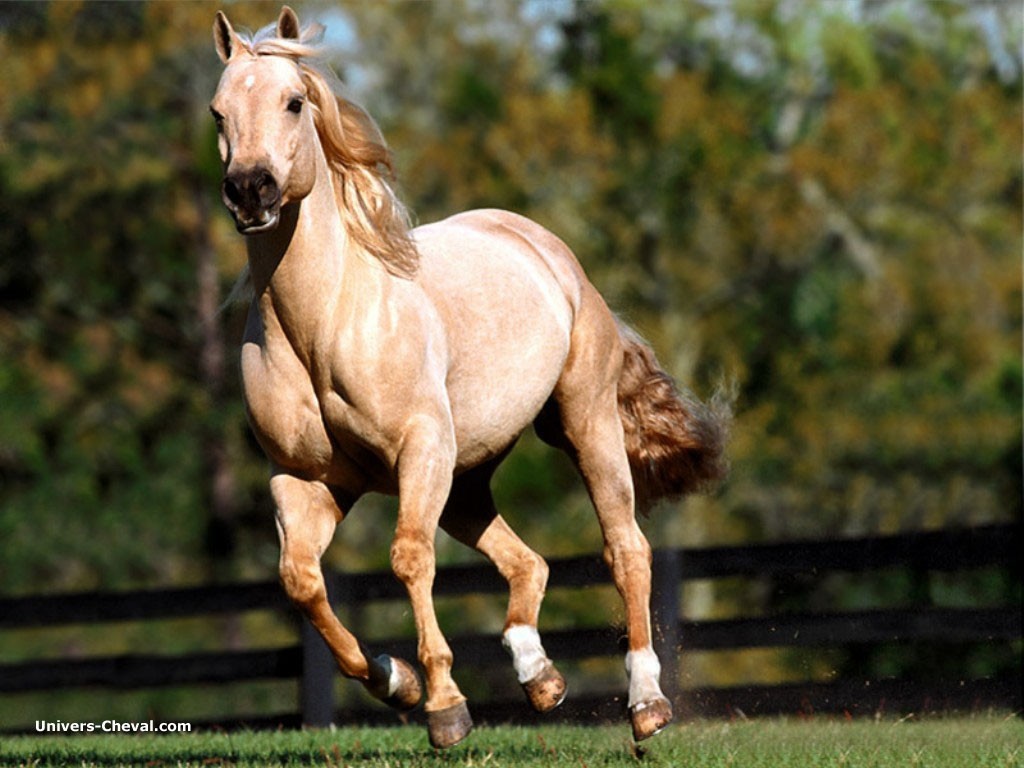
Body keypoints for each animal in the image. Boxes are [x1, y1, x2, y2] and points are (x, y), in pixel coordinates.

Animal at [209, 6, 729, 753]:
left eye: (294, 101)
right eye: (218, 111)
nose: (251, 190)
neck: (324, 323)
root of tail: (550, 252)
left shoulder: (419, 450)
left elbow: (407, 558)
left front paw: (445, 707)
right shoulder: (305, 480)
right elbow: (301, 583)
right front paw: (398, 682)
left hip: (584, 424)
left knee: (625, 549)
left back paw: (646, 703)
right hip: (466, 477)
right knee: (527, 563)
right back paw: (539, 678)